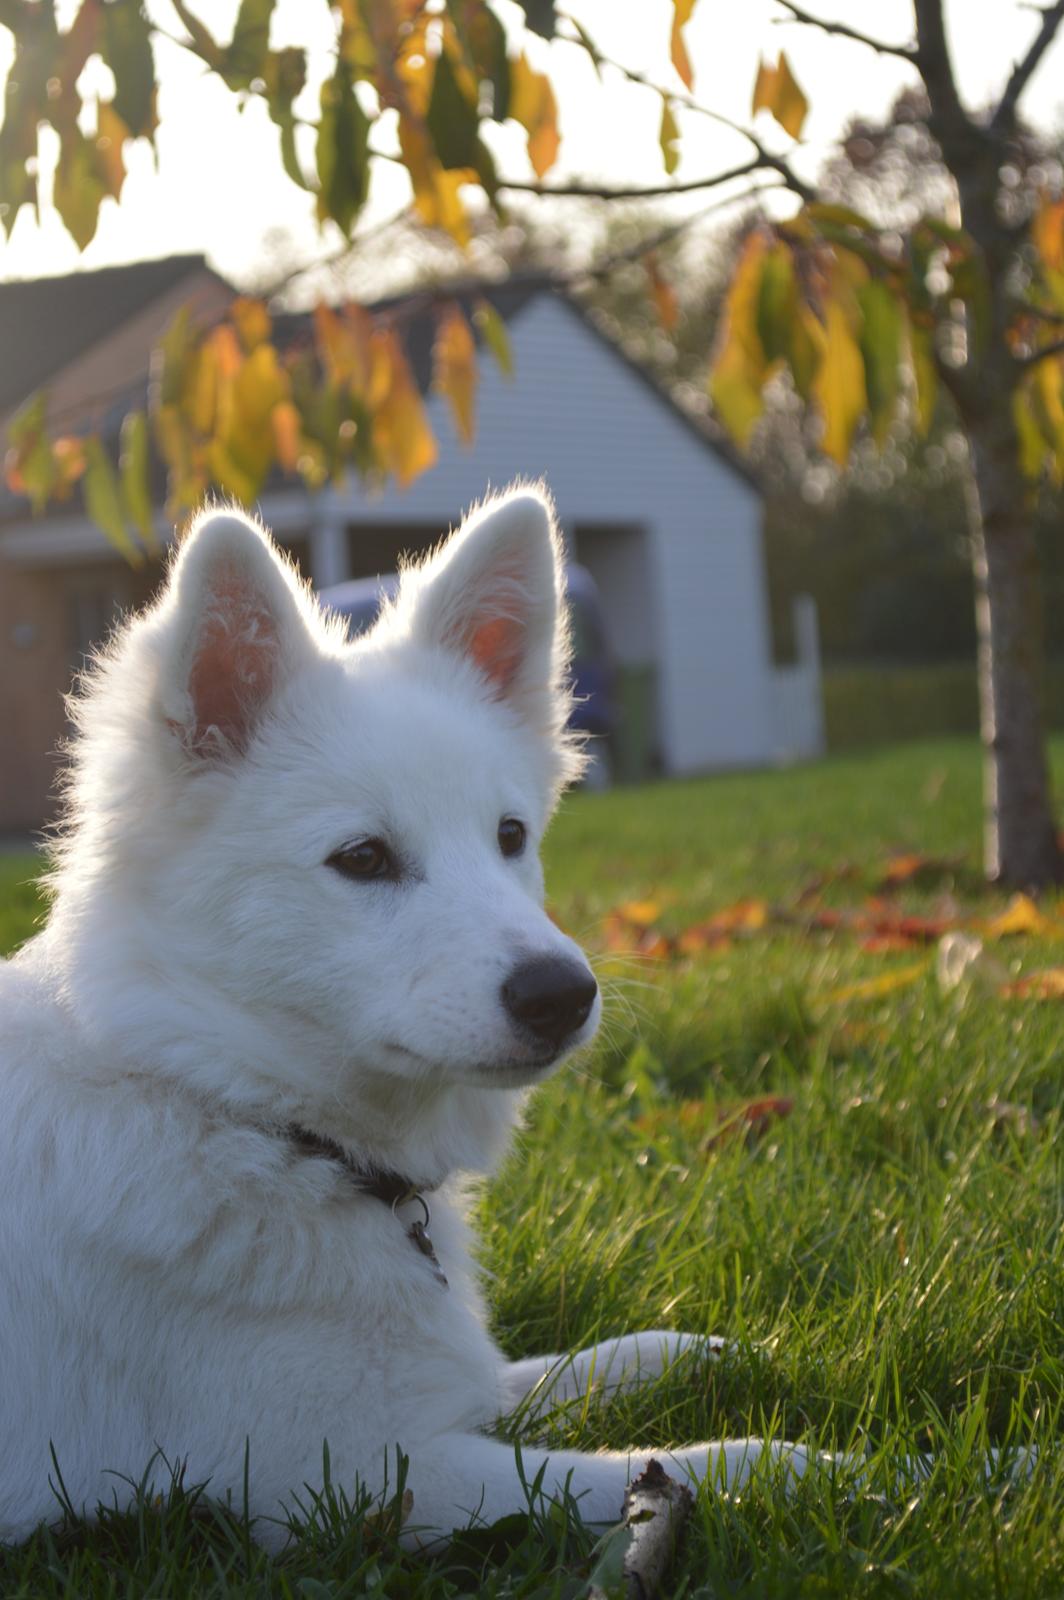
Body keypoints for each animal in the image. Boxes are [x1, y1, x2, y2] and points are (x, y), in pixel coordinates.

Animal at [0, 489, 825, 1548]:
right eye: (363, 858)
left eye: (510, 836)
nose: (564, 995)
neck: (237, 1111)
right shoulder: (357, 1480)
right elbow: (709, 1463)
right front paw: (899, 1469)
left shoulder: (442, 1395)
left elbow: (574, 1363)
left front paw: (705, 1349)